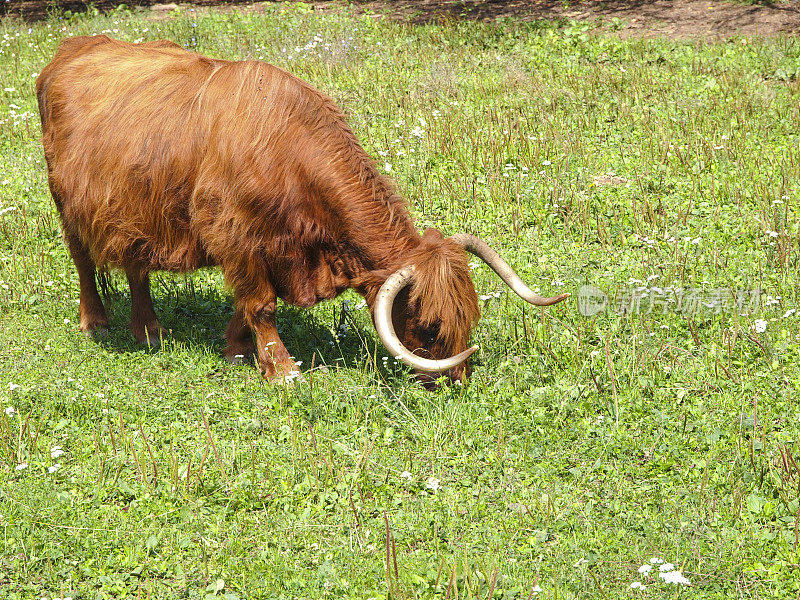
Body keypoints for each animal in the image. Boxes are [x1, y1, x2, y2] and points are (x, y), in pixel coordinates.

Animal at [36, 36, 564, 384]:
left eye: (468, 317)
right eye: (431, 325)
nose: (458, 379)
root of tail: (71, 47)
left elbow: (245, 306)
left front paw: (237, 349)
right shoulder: (235, 236)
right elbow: (261, 304)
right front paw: (283, 369)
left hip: (133, 210)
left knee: (136, 264)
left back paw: (149, 330)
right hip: (66, 202)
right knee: (83, 262)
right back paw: (97, 322)